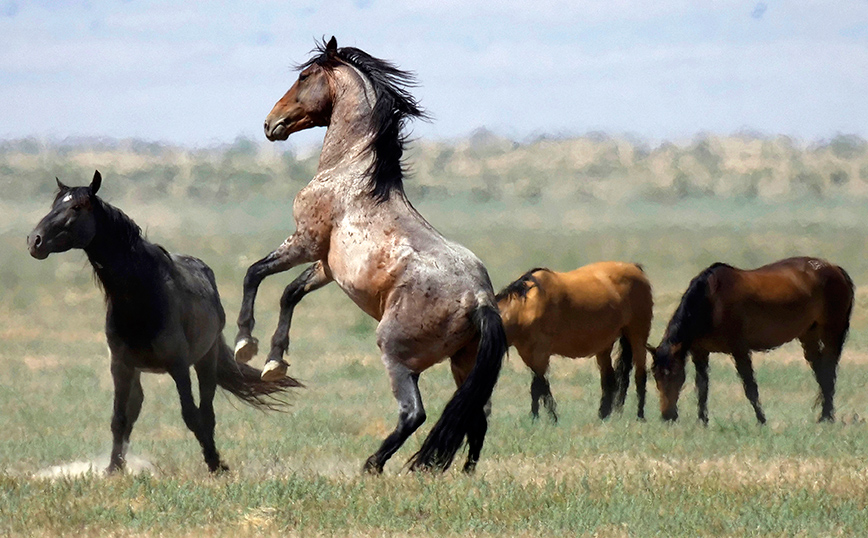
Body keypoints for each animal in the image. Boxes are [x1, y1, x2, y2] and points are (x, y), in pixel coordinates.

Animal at [28, 170, 302, 472]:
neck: (143, 294)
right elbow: (119, 419)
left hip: (205, 360)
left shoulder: (178, 366)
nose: (34, 240)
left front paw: (215, 462)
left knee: (206, 410)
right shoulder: (121, 366)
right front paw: (113, 469)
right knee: (135, 409)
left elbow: (192, 415)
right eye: (55, 205)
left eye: (76, 207)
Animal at [234, 37, 506, 472]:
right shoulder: (326, 266)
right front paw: (275, 362)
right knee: (475, 416)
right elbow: (290, 293)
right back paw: (460, 475)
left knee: (415, 414)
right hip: (463, 365)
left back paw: (373, 465)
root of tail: (480, 300)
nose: (270, 123)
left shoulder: (304, 242)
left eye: (304, 76)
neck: (351, 173)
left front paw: (245, 343)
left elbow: (254, 273)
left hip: (396, 354)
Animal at [496, 262, 652, 420]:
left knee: (640, 375)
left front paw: (545, 418)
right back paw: (603, 416)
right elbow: (540, 386)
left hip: (638, 337)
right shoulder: (527, 355)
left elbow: (538, 386)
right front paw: (543, 417)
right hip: (605, 346)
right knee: (610, 379)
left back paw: (640, 416)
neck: (524, 309)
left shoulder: (541, 353)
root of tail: (634, 267)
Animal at [652, 255, 856, 422]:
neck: (711, 302)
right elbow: (702, 387)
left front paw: (761, 419)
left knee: (829, 371)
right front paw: (702, 421)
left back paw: (827, 417)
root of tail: (836, 269)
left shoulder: (739, 350)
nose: (667, 416)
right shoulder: (700, 352)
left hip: (832, 331)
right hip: (808, 334)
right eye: (655, 375)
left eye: (674, 374)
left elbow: (750, 387)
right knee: (820, 372)